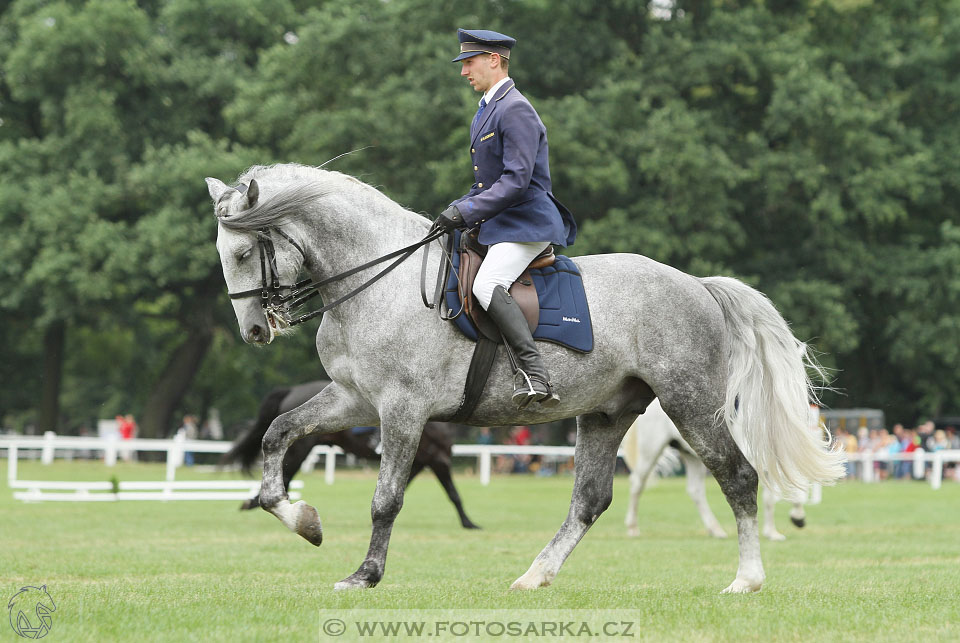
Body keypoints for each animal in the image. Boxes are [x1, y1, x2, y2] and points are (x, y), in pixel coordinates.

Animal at [222, 380, 484, 532]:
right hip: (299, 449)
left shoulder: (419, 461)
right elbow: (454, 494)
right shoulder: (438, 459)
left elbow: (402, 489)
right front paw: (469, 523)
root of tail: (293, 390)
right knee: (285, 477)